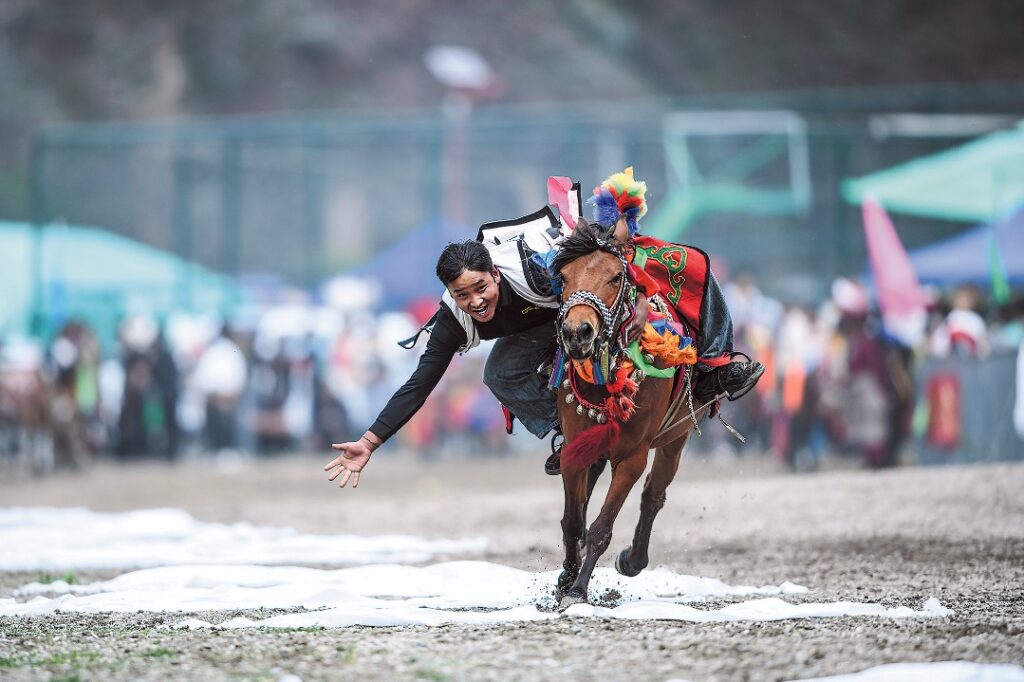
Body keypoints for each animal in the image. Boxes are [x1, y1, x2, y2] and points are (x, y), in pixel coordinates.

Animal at [548, 220, 716, 606]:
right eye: (563, 276)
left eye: (615, 277)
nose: (577, 332)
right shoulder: (575, 449)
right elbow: (573, 522)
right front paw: (566, 579)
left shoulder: (631, 457)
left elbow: (601, 528)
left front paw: (578, 590)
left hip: (676, 437)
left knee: (654, 495)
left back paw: (633, 560)